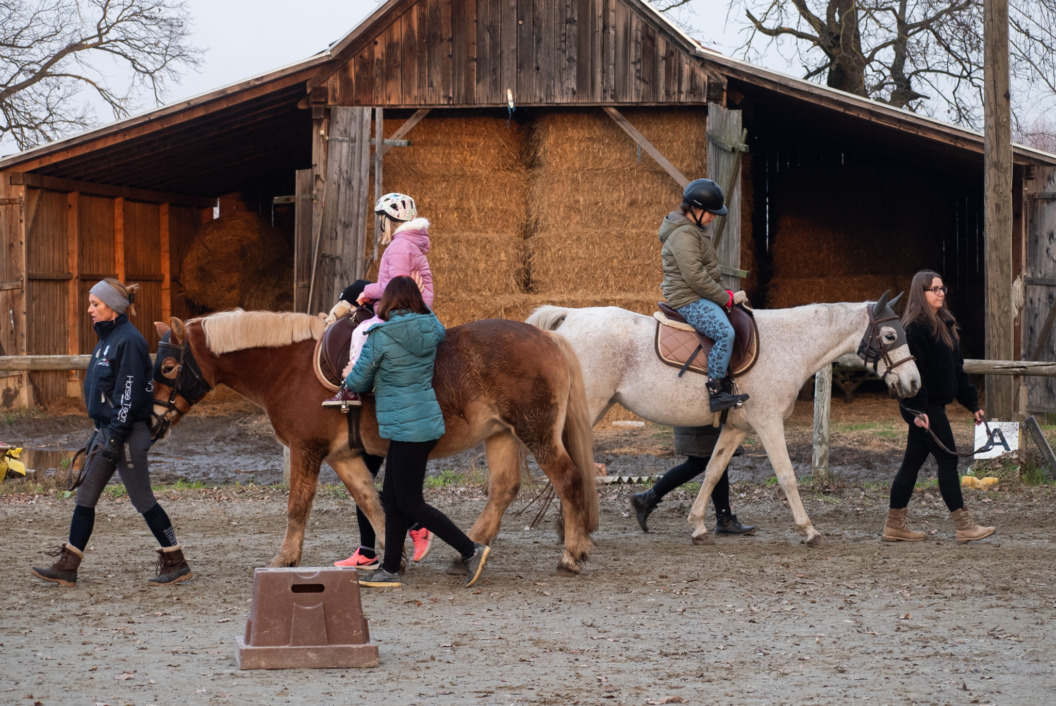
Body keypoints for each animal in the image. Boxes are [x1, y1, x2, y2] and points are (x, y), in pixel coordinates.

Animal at [149, 312, 599, 574]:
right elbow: (371, 502)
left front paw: (285, 558)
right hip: (500, 433)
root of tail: (547, 337)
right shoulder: (343, 457)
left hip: (534, 431)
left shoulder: (306, 449)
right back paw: (468, 550)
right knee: (504, 489)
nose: (152, 423)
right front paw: (395, 551)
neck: (290, 368)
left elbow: (298, 505)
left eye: (169, 366)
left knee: (569, 479)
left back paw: (571, 553)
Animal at [532, 291, 920, 544]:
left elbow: (713, 470)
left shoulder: (736, 428)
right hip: (588, 407)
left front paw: (699, 524)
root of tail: (570, 317)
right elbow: (787, 476)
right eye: (890, 335)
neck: (789, 344)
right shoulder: (768, 423)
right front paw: (808, 529)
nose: (914, 382)